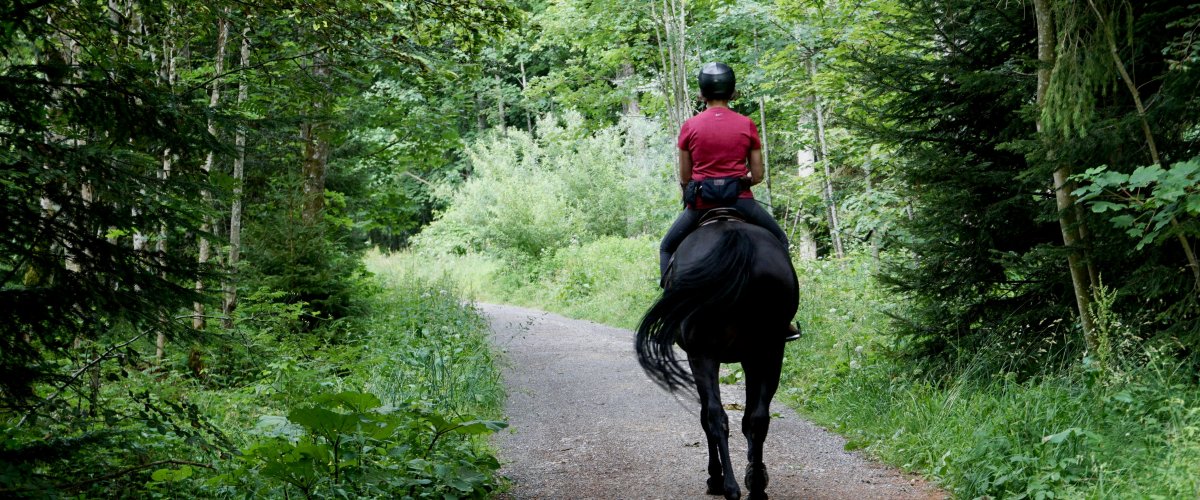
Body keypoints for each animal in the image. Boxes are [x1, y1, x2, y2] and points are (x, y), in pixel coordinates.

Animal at [636, 216, 798, 500]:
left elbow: (707, 415)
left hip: (704, 354)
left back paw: (727, 485)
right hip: (770, 350)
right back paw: (755, 488)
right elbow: (749, 418)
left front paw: (717, 476)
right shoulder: (751, 357)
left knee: (715, 416)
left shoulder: (700, 356)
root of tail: (736, 239)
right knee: (758, 418)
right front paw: (754, 472)